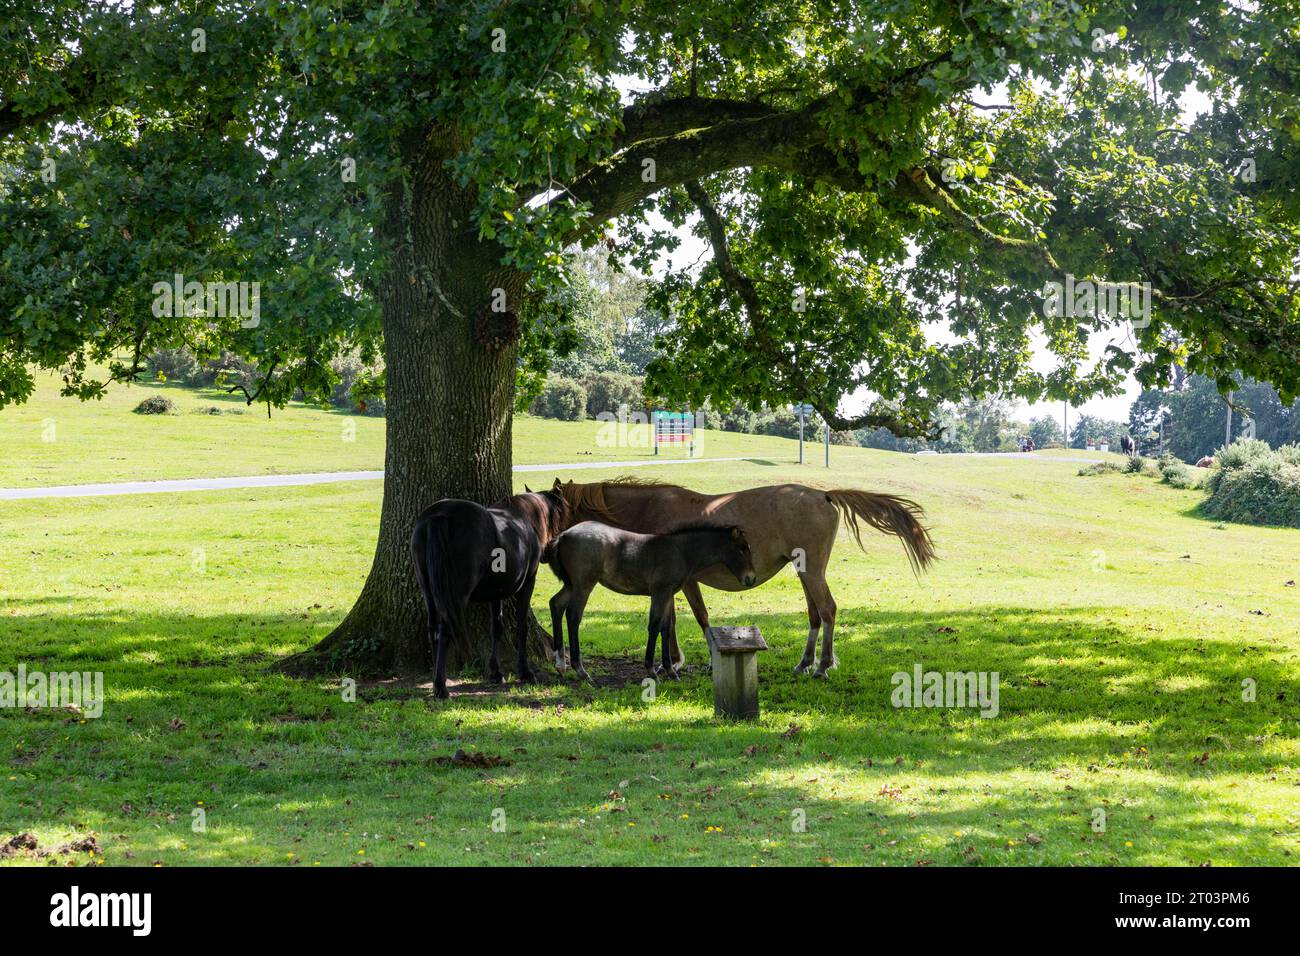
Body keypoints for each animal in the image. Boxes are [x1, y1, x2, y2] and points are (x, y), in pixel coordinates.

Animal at [410, 486, 570, 698]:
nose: (552, 552)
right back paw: (441, 687)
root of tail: (439, 515)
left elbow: (496, 628)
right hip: (455, 596)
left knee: (433, 629)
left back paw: (437, 678)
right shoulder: (528, 583)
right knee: (444, 630)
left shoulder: (496, 592)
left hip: (429, 590)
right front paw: (525, 672)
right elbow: (521, 627)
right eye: (562, 515)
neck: (524, 517)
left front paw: (495, 672)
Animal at [544, 522, 757, 681]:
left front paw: (670, 670)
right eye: (742, 549)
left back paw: (560, 664)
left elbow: (666, 627)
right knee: (573, 616)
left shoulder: (668, 594)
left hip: (571, 584)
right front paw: (651, 670)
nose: (751, 578)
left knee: (556, 604)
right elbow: (654, 626)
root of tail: (563, 535)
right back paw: (580, 670)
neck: (681, 551)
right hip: (584, 584)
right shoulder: (660, 592)